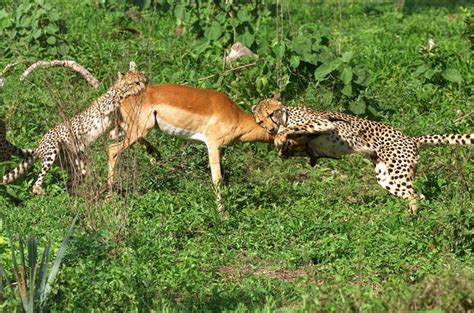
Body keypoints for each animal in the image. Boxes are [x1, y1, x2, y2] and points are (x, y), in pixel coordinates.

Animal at [0, 68, 147, 194]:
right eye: (136, 82)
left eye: (145, 81)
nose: (144, 88)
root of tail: (40, 144)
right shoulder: (105, 106)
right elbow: (119, 95)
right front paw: (130, 91)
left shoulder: (114, 131)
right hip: (51, 151)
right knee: (39, 178)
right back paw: (38, 189)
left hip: (74, 163)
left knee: (73, 182)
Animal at [254, 95, 472, 212]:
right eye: (260, 121)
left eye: (271, 114)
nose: (269, 128)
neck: (285, 117)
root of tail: (411, 138)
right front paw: (281, 146)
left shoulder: (323, 122)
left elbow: (296, 128)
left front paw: (280, 137)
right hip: (386, 177)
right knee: (417, 193)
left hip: (398, 170)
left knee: (413, 193)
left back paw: (413, 216)